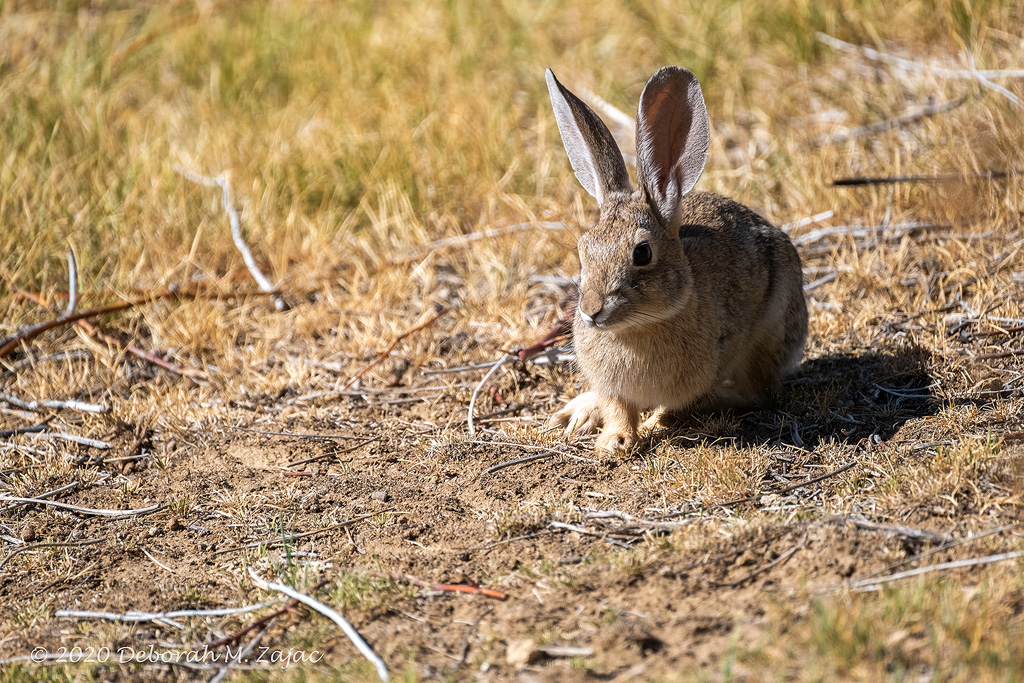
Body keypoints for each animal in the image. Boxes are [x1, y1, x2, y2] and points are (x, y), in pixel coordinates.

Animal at [544, 66, 808, 453]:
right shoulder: (613, 389)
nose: (591, 311)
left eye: (642, 253)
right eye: (583, 250)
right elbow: (617, 406)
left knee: (758, 394)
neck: (637, 327)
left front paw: (652, 425)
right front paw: (614, 440)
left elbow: (677, 404)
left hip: (770, 332)